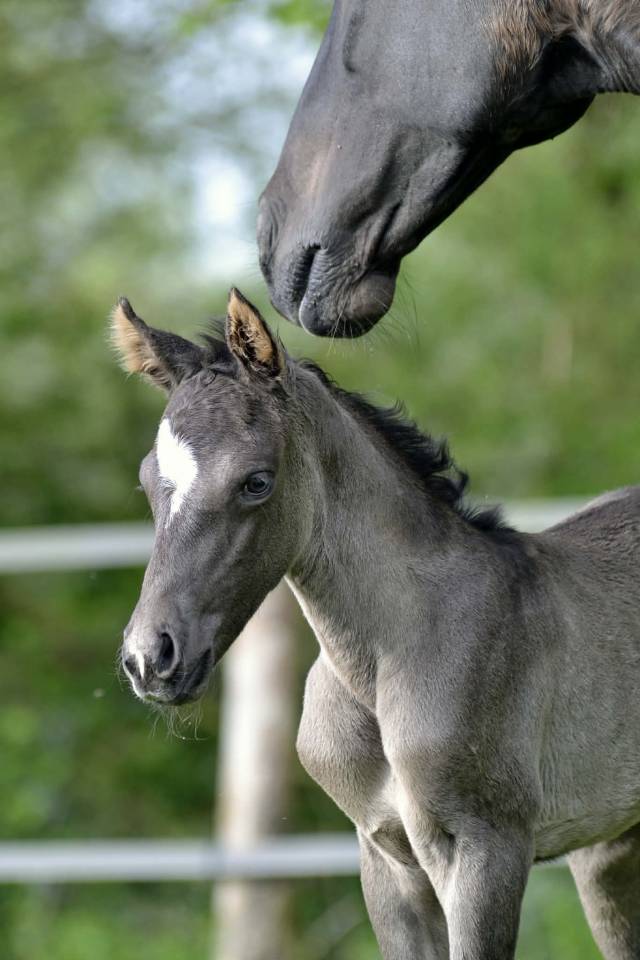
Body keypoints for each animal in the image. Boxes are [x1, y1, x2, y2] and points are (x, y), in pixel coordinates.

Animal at [112, 288, 640, 959]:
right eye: (148, 482)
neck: (385, 663)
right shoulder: (385, 855)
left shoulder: (487, 848)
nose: (149, 658)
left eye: (256, 481)